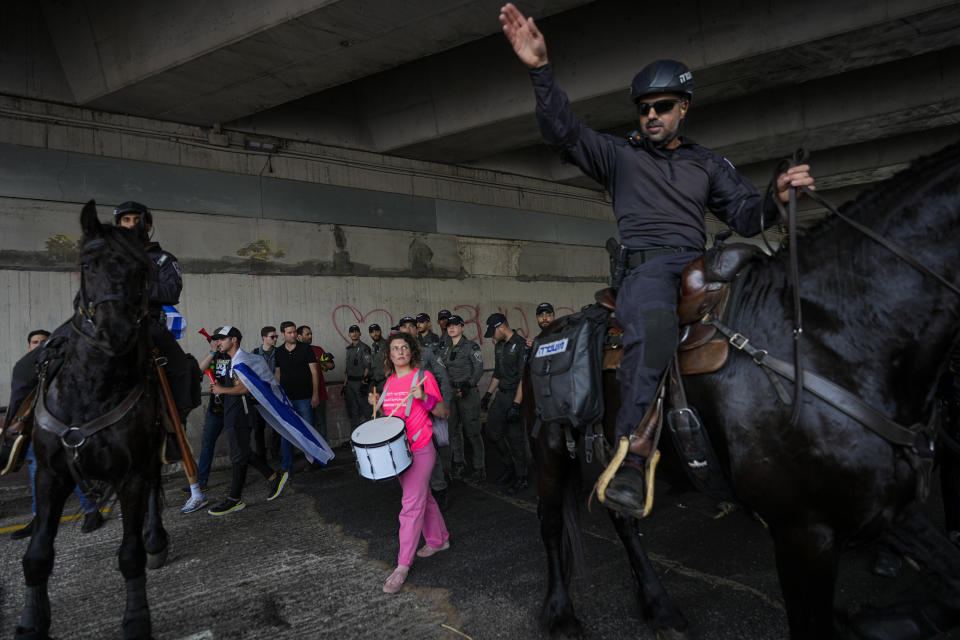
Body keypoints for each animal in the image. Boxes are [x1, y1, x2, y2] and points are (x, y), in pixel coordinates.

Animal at [15, 201, 170, 640]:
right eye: (87, 264)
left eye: (141, 270)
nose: (113, 332)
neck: (92, 388)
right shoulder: (50, 473)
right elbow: (37, 556)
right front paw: (32, 622)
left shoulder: (131, 472)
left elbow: (130, 555)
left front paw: (136, 620)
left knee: (153, 491)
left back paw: (156, 539)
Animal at [532, 141, 960, 640]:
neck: (831, 337)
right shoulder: (803, 533)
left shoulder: (885, 510)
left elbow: (950, 578)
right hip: (549, 451)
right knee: (550, 525)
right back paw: (560, 612)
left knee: (622, 519)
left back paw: (659, 606)